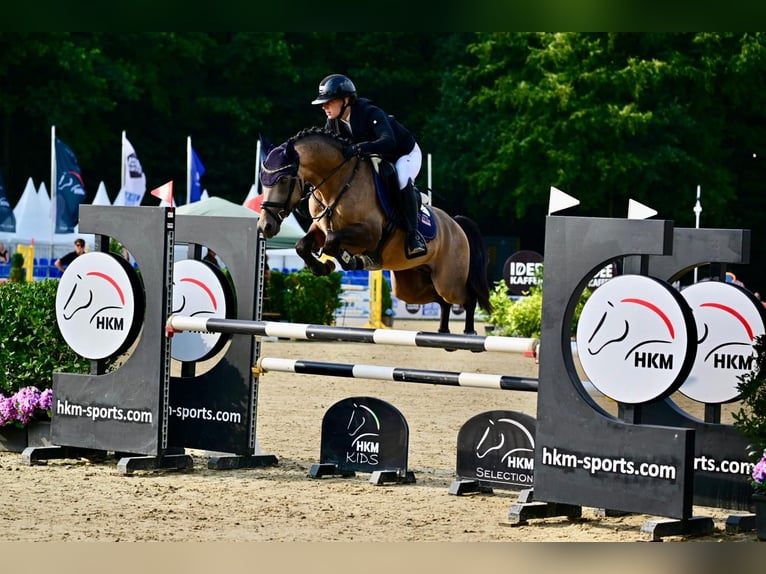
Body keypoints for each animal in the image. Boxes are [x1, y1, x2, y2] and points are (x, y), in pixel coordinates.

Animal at [258, 127, 496, 336]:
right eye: (263, 180)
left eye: (283, 179)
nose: (264, 226)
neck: (337, 184)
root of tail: (456, 224)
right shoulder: (319, 229)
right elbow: (303, 245)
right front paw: (322, 267)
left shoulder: (370, 234)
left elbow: (332, 242)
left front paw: (344, 261)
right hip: (411, 285)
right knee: (440, 300)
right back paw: (444, 332)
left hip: (449, 280)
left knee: (465, 298)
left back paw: (469, 332)